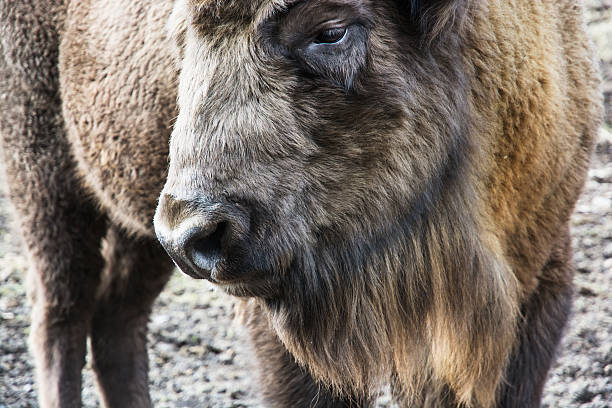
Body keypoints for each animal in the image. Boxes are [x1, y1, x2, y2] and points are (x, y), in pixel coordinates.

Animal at [0, 0, 604, 408]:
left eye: (329, 31)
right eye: (182, 35)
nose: (196, 233)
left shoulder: (538, 283)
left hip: (138, 230)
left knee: (116, 319)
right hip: (46, 182)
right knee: (61, 318)